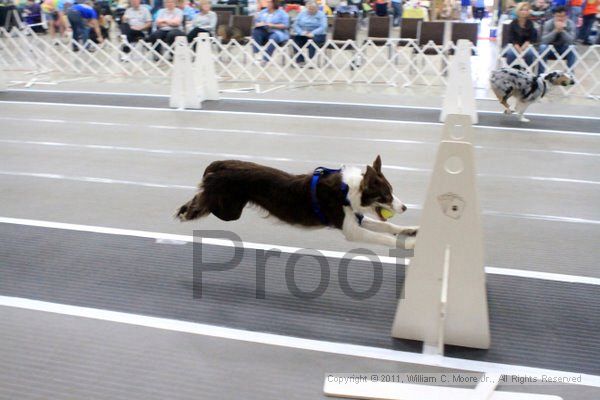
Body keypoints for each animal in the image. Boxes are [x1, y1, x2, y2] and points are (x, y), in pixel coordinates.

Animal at [177, 158, 418, 248]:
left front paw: (412, 230)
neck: (348, 191)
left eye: (392, 192)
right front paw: (411, 244)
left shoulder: (356, 219)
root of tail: (223, 164)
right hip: (230, 209)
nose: (404, 207)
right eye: (385, 195)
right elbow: (383, 237)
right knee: (205, 200)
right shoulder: (351, 230)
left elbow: (387, 226)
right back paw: (185, 211)